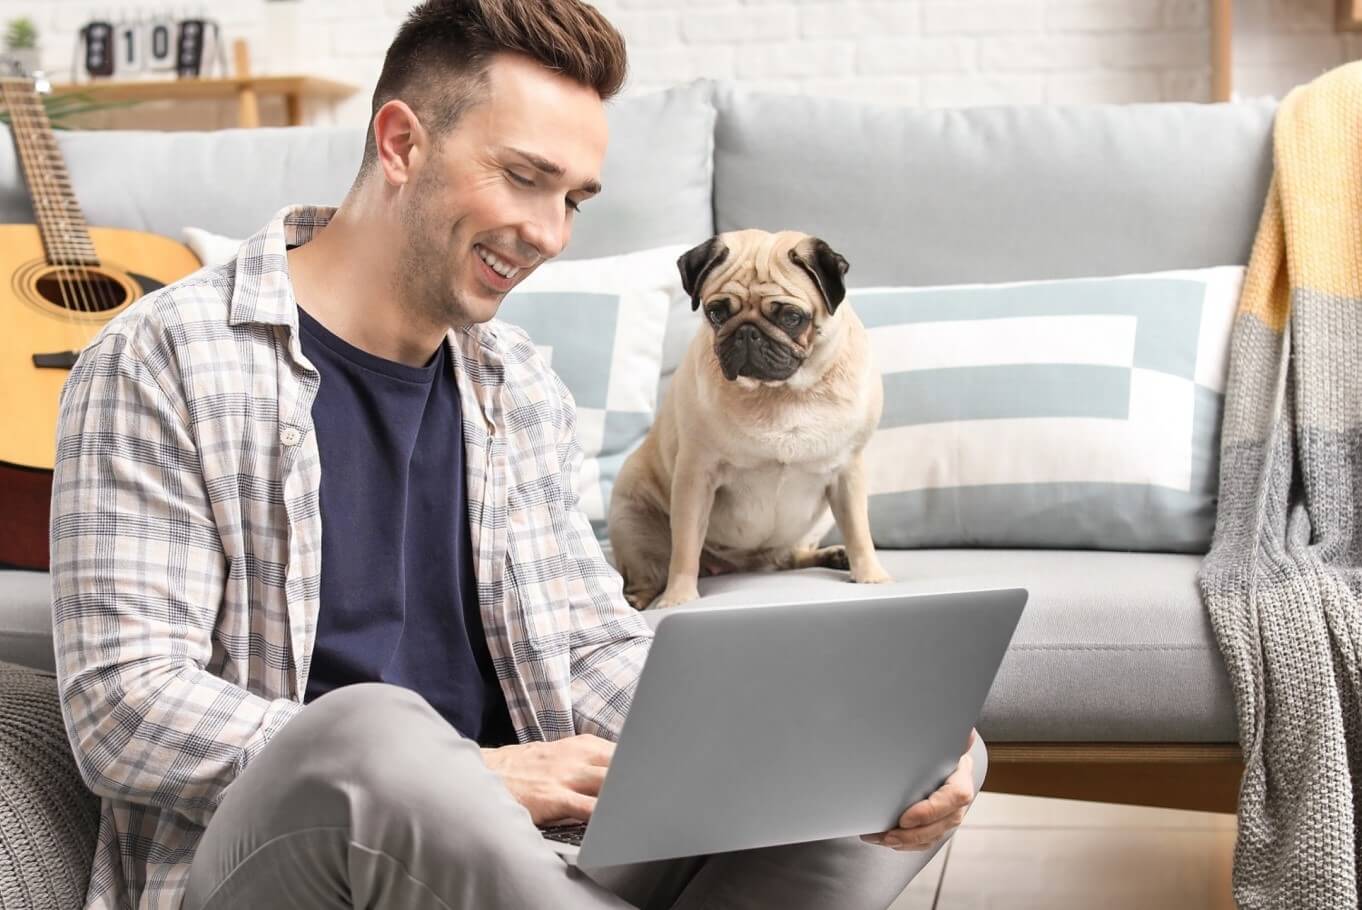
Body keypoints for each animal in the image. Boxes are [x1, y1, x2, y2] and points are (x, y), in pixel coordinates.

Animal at [610, 228, 893, 610]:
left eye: (792, 317)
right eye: (716, 313)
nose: (746, 332)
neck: (781, 393)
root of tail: (742, 564)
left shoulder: (847, 472)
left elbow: (859, 530)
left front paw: (870, 575)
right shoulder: (696, 475)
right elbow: (684, 547)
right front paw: (679, 597)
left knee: (788, 557)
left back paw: (833, 556)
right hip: (630, 519)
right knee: (650, 570)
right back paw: (638, 599)